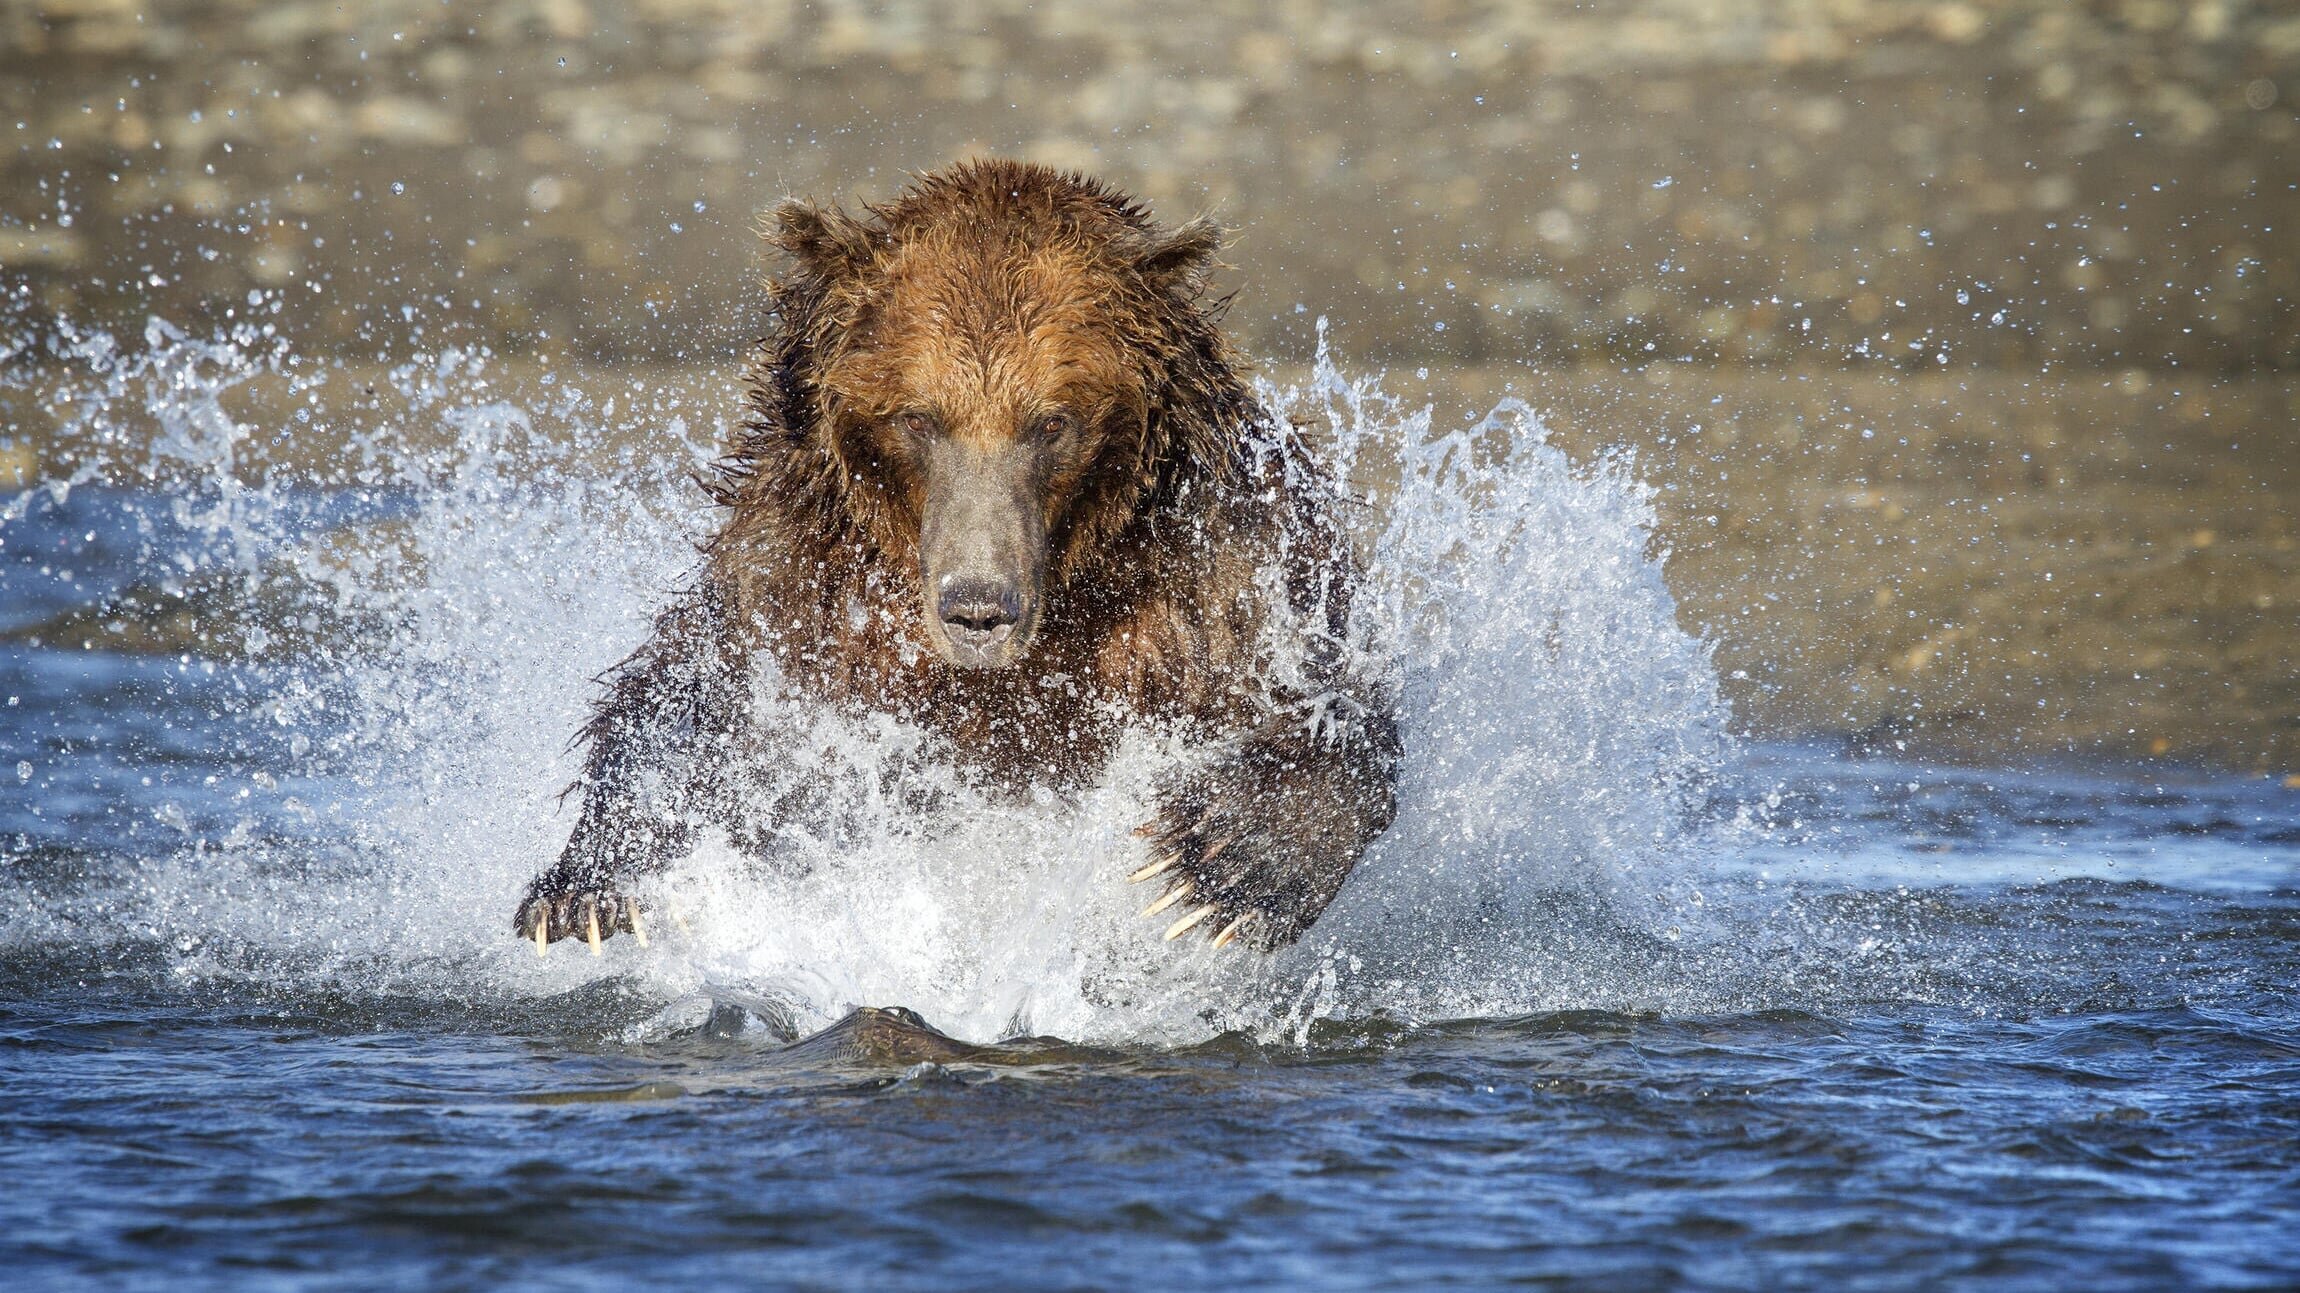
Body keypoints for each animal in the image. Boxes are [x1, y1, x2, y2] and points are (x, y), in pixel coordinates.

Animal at [512, 158, 1389, 947]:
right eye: (918, 417)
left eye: (1051, 422)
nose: (979, 606)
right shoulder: (803, 582)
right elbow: (694, 699)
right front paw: (584, 889)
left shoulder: (1214, 568)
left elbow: (1323, 693)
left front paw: (1220, 864)